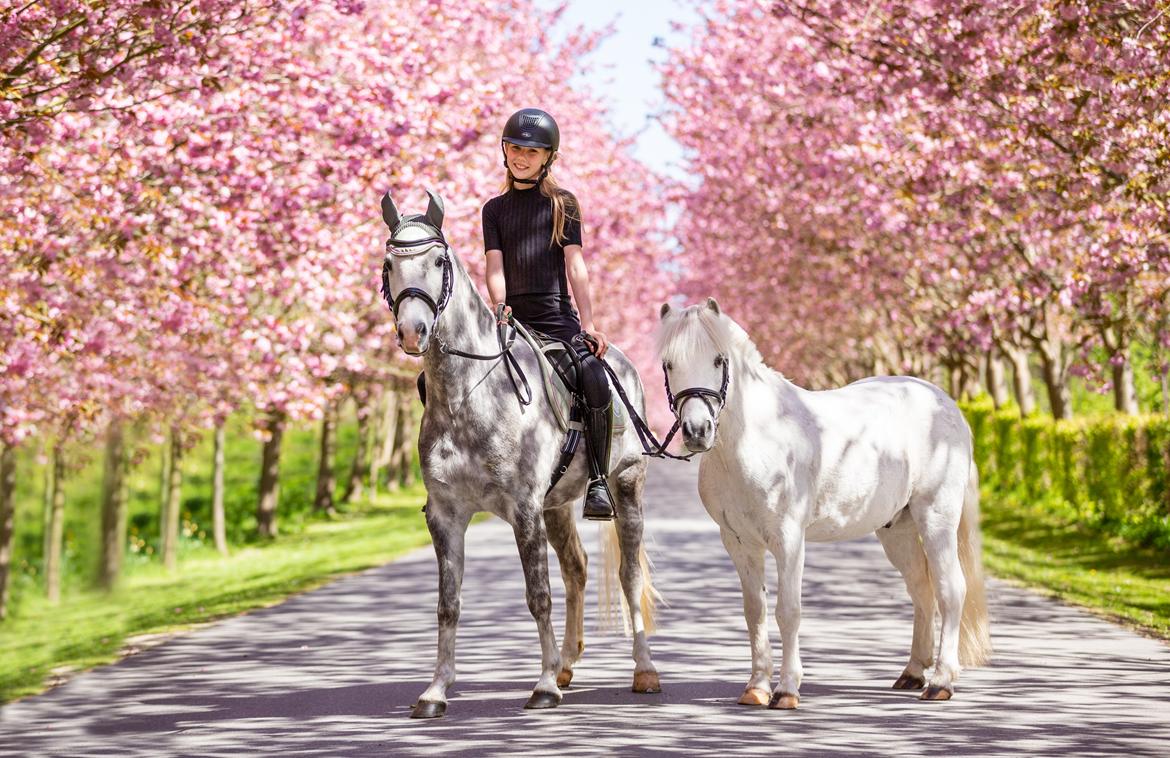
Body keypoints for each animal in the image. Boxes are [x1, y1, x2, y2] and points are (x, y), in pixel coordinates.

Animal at [380, 189, 661, 719]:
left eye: (438, 260)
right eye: (389, 264)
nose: (412, 331)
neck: (468, 394)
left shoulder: (524, 510)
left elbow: (538, 596)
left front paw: (544, 686)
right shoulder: (446, 515)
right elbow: (448, 603)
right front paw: (435, 691)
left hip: (626, 485)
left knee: (629, 575)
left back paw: (643, 671)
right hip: (557, 505)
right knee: (577, 569)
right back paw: (567, 664)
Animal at [655, 298, 991, 709]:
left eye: (720, 360)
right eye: (669, 363)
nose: (697, 431)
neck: (756, 440)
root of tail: (947, 405)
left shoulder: (788, 540)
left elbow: (788, 611)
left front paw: (786, 690)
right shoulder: (739, 543)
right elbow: (755, 611)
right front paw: (756, 687)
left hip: (937, 519)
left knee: (950, 589)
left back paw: (941, 682)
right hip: (898, 529)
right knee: (921, 589)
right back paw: (913, 673)